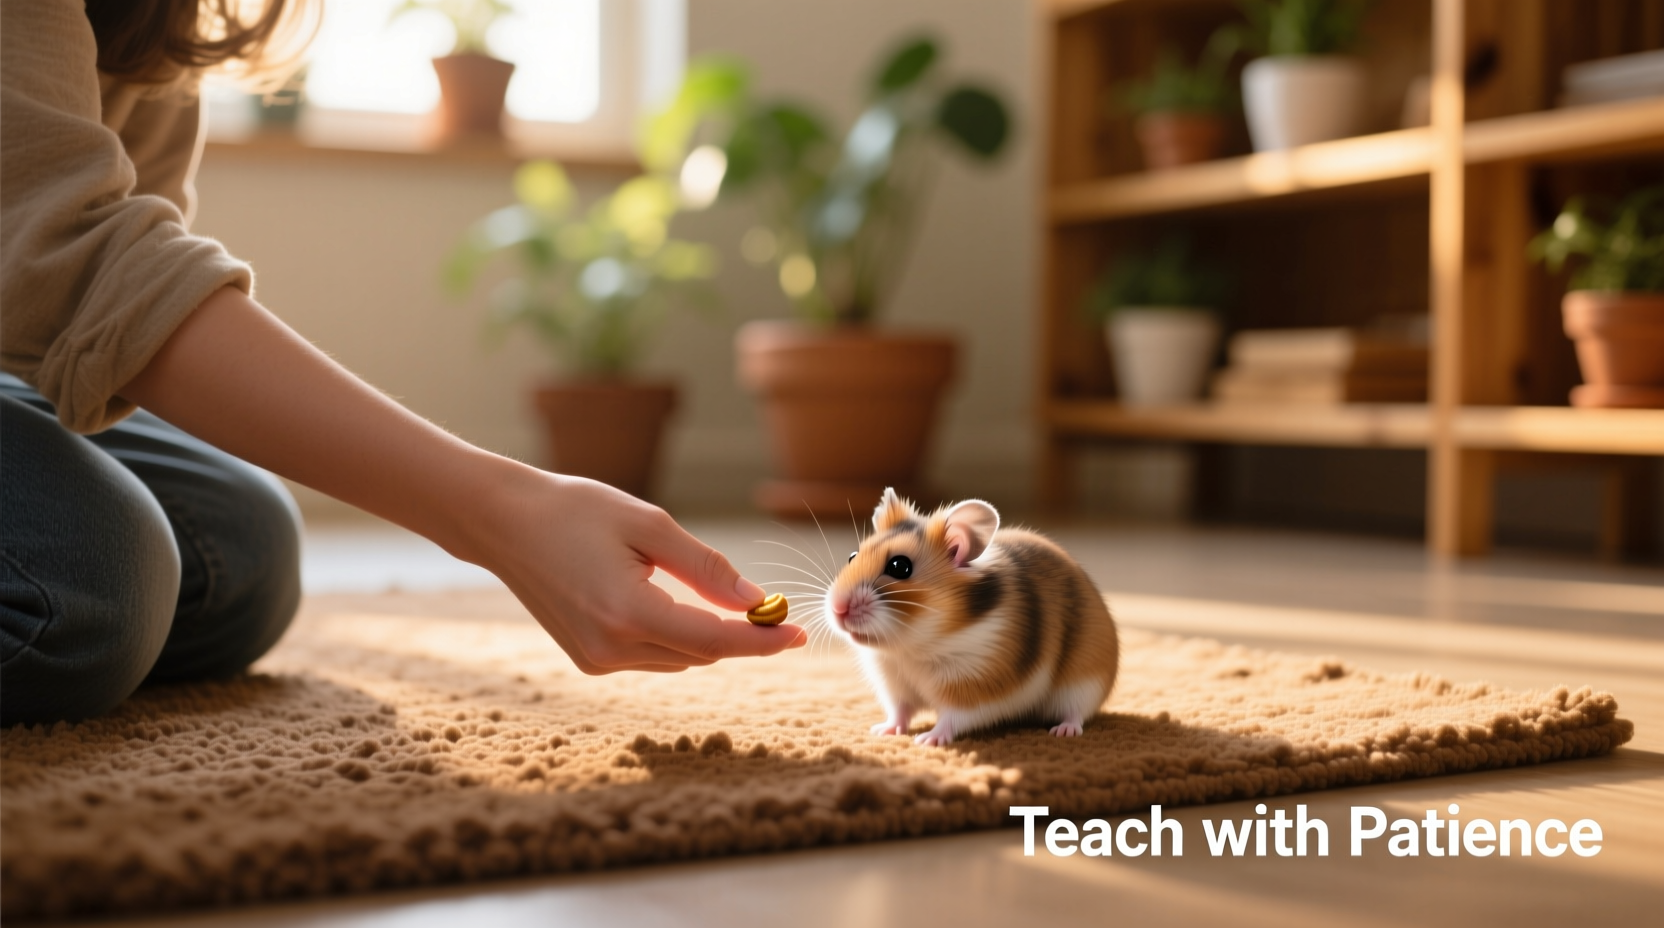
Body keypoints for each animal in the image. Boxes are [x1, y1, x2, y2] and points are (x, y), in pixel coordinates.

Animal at [826, 488, 1119, 746]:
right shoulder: (894, 682)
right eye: (852, 556)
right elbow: (900, 711)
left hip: (1085, 682)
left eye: (900, 567)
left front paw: (927, 740)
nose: (837, 609)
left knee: (1077, 712)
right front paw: (880, 731)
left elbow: (952, 717)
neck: (913, 646)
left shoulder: (976, 684)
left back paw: (1063, 732)